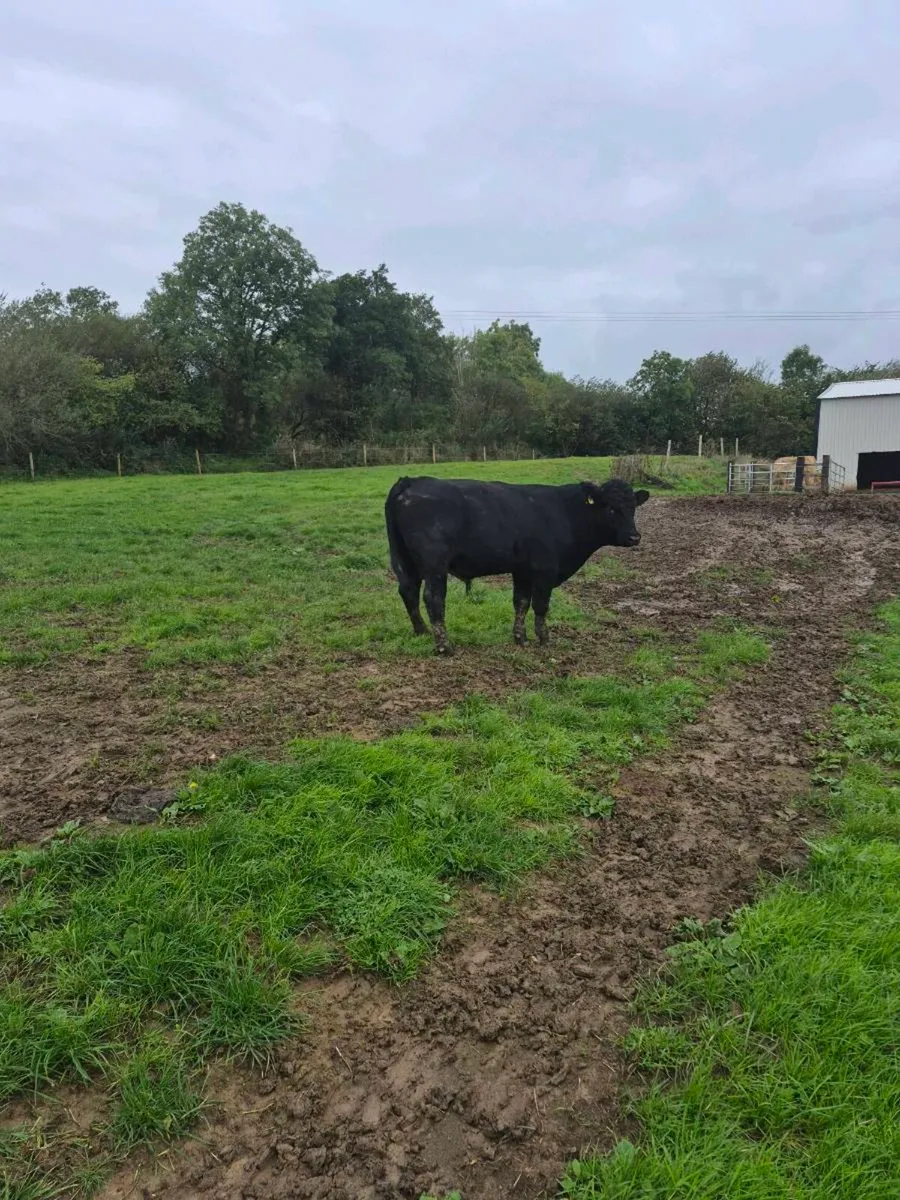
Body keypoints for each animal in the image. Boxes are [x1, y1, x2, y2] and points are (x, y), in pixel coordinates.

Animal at [384, 475, 650, 654]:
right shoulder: (545, 570)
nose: (634, 537)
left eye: (632, 508)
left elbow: (521, 603)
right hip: (434, 564)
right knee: (433, 598)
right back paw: (444, 646)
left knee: (408, 591)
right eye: (610, 508)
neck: (566, 513)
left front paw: (520, 638)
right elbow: (541, 606)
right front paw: (544, 638)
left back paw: (421, 631)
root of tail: (411, 481)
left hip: (404, 560)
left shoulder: (522, 570)